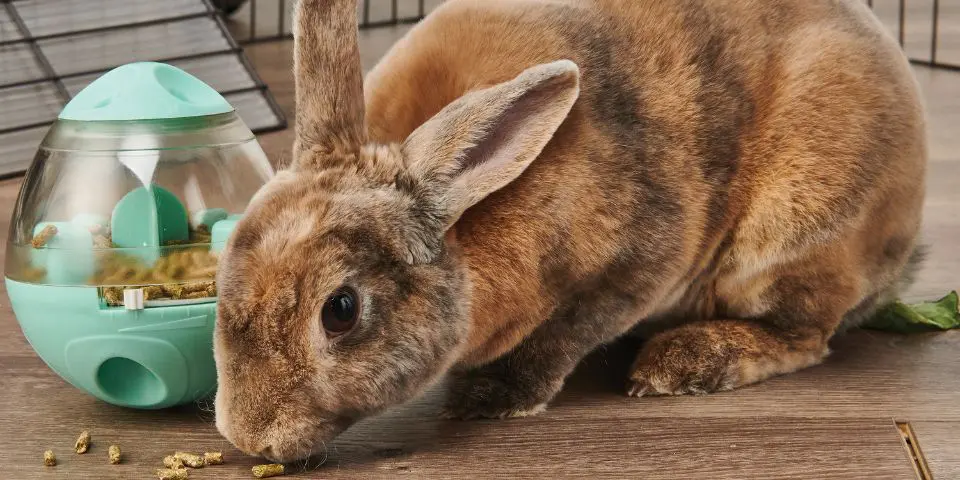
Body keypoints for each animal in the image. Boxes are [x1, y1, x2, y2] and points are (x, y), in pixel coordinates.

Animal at [212, 0, 924, 464]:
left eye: (341, 310)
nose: (248, 436)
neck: (464, 221)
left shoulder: (634, 265)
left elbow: (562, 335)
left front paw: (493, 398)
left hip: (789, 238)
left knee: (806, 337)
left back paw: (683, 363)